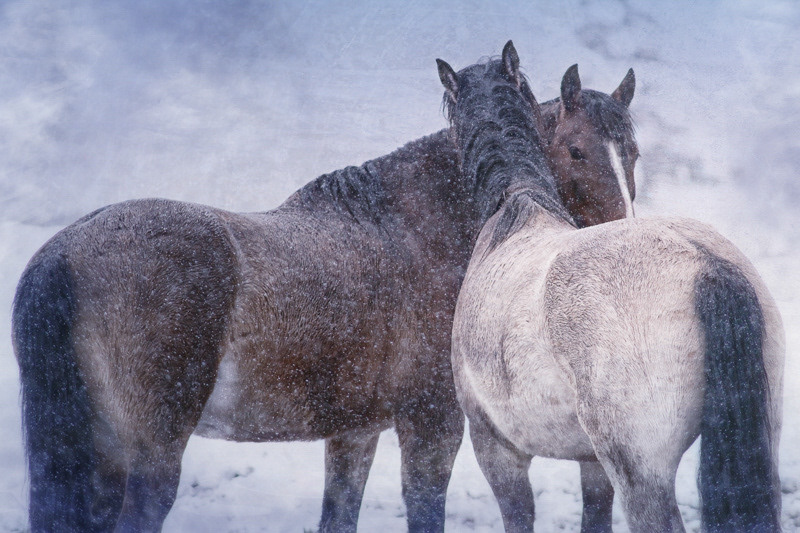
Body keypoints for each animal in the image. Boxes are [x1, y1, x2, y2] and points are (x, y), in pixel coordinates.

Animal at [12, 46, 635, 533]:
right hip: (148, 457)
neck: (414, 226)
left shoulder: (353, 435)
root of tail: (60, 258)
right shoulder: (432, 424)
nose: (620, 237)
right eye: (577, 150)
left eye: (631, 151)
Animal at [442, 42, 784, 532]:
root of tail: (707, 265)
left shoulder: (497, 450)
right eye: (577, 151)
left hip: (641, 474)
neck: (517, 208)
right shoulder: (591, 463)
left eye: (631, 154)